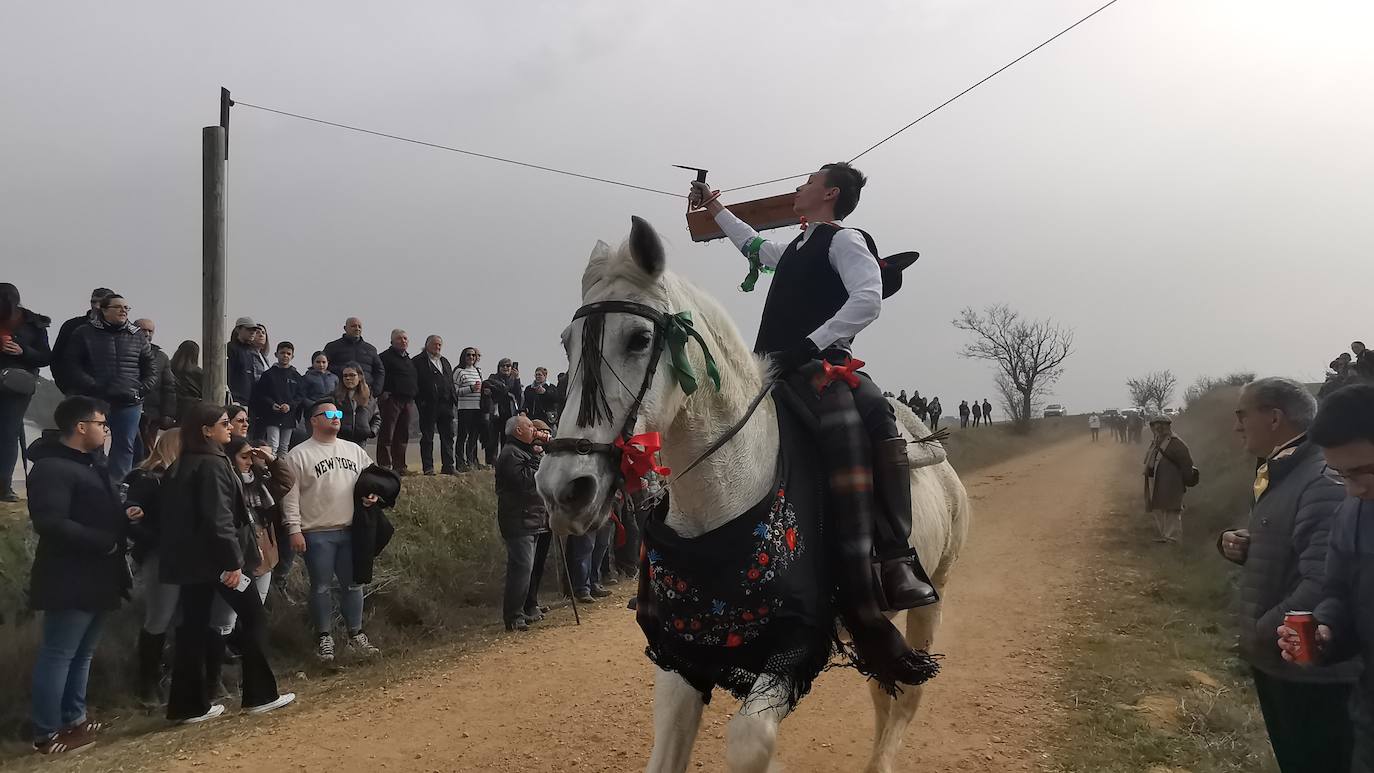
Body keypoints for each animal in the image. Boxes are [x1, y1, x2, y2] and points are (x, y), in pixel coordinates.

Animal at [536, 216, 970, 773]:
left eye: (638, 339)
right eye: (568, 342)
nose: (563, 490)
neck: (721, 501)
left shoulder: (794, 646)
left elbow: (750, 741)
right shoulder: (681, 654)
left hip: (933, 594)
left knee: (907, 693)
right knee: (883, 687)